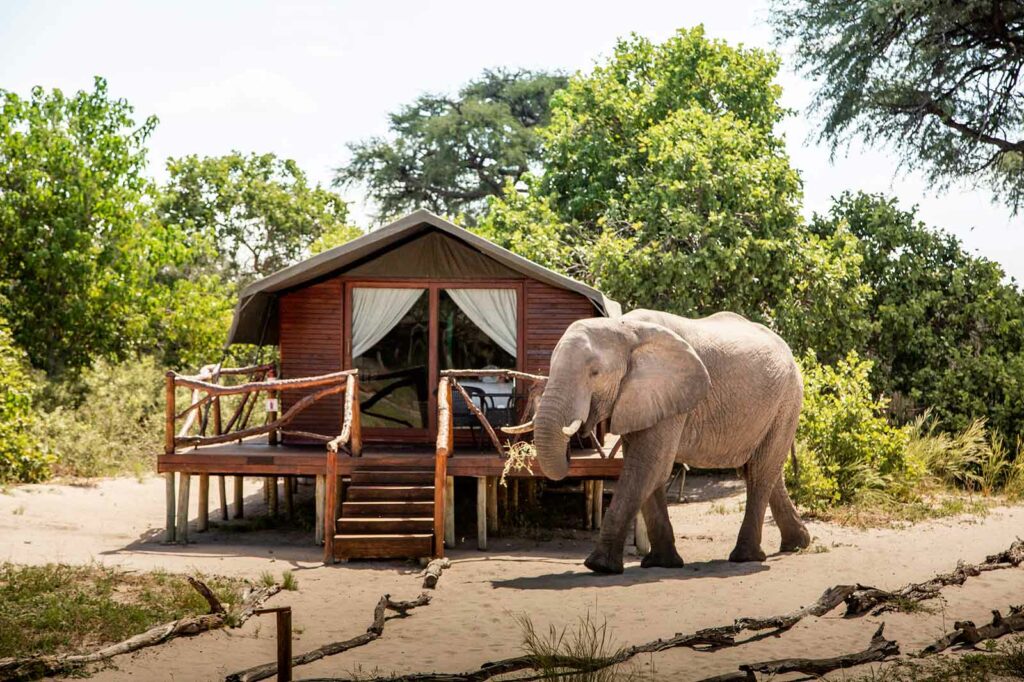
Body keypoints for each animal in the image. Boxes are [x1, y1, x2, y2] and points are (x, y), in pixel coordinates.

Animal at [522, 309, 811, 574]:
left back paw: (746, 557)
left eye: (594, 373)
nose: (575, 445)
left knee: (761, 470)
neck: (624, 329)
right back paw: (798, 544)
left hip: (788, 399)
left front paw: (600, 566)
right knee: (761, 469)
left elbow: (647, 467)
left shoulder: (669, 396)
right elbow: (649, 471)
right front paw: (662, 564)